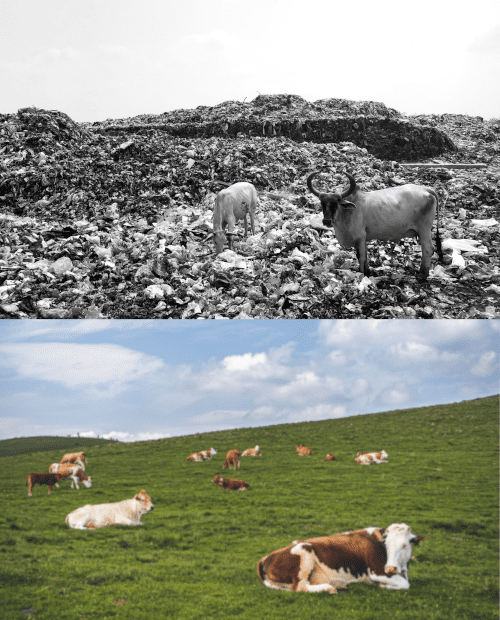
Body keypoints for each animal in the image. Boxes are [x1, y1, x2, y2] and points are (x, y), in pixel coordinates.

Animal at [260, 524, 424, 596]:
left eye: (405, 545)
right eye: (386, 543)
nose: (390, 568)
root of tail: (265, 558)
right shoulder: (377, 572)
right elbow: (405, 584)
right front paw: (384, 586)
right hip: (304, 553)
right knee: (301, 587)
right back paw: (330, 588)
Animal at [306, 168, 444, 278]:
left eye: (336, 204)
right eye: (322, 204)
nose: (326, 221)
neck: (347, 212)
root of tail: (426, 189)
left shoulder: (360, 236)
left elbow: (361, 256)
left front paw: (362, 273)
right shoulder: (363, 239)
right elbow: (364, 255)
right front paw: (367, 270)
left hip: (424, 229)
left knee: (428, 249)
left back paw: (423, 275)